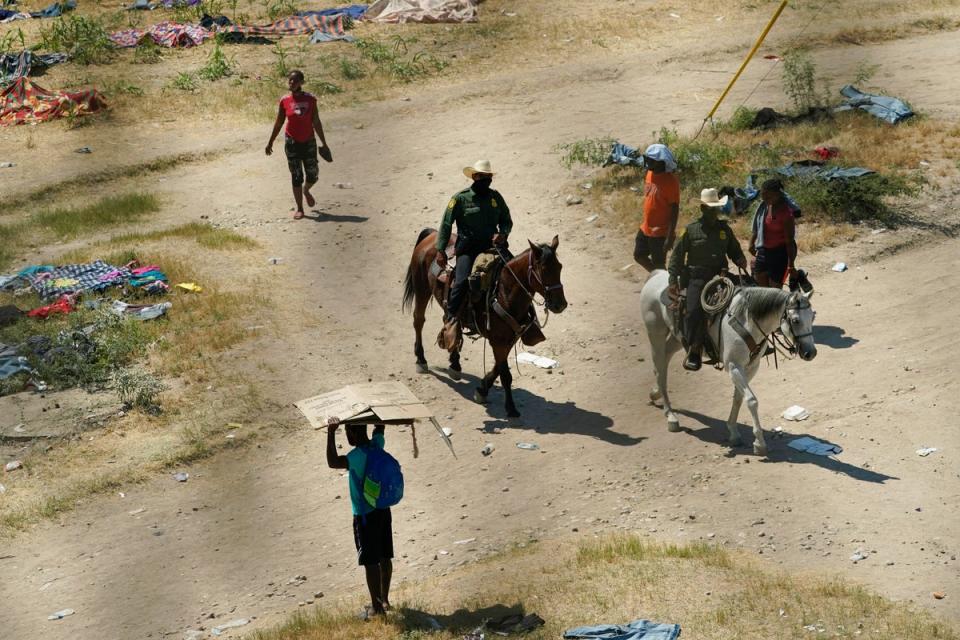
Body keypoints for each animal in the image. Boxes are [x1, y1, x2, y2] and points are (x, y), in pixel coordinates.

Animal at [402, 228, 568, 418]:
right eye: (543, 270)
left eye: (560, 267)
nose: (560, 304)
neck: (503, 291)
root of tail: (432, 234)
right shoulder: (498, 342)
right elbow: (505, 375)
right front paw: (511, 408)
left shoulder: (508, 339)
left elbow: (498, 368)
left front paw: (482, 389)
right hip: (421, 288)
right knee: (418, 320)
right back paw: (421, 359)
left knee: (450, 324)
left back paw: (455, 363)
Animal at [640, 270, 812, 456]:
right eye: (795, 320)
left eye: (813, 317)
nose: (811, 353)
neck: (747, 320)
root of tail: (656, 274)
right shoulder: (733, 366)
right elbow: (751, 400)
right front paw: (759, 443)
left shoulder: (751, 367)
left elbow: (738, 398)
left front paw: (733, 432)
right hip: (655, 333)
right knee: (659, 367)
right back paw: (670, 415)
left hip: (677, 338)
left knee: (665, 360)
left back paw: (656, 393)